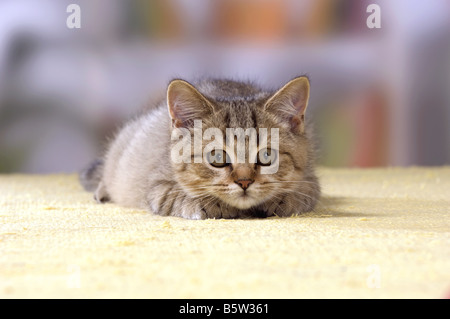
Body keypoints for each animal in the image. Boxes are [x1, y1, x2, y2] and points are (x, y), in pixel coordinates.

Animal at [80, 76, 320, 219]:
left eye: (267, 155)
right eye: (216, 157)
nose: (244, 182)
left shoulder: (311, 179)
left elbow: (304, 193)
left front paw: (282, 199)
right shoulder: (157, 187)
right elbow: (178, 196)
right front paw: (213, 205)